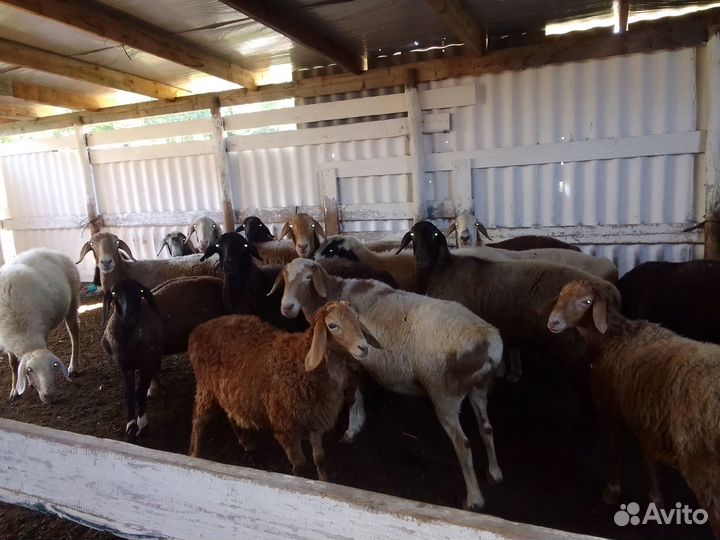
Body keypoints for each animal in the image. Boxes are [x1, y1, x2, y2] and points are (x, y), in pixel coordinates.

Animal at [0, 248, 79, 404]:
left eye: (53, 367)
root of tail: (52, 251)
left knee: (74, 333)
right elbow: (13, 364)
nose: (49, 396)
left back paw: (74, 366)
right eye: (30, 370)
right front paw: (14, 389)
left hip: (73, 300)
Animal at [102, 276, 225, 440]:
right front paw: (131, 427)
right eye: (114, 293)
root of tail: (219, 281)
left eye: (140, 292)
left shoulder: (147, 363)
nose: (130, 315)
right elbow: (129, 395)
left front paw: (143, 425)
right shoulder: (125, 366)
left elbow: (139, 393)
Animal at [187, 301, 382, 482]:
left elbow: (320, 458)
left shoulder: (314, 419)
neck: (303, 365)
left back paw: (246, 443)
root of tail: (199, 329)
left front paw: (324, 482)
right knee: (198, 421)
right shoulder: (286, 428)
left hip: (229, 391)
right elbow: (300, 464)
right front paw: (300, 479)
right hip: (205, 387)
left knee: (231, 413)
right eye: (332, 325)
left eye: (357, 318)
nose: (364, 347)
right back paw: (194, 455)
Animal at [273, 258, 504, 511]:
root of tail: (490, 342)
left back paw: (474, 499)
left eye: (308, 278)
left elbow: (354, 397)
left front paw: (351, 431)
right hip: (479, 389)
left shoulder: (354, 359)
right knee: (486, 428)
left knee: (463, 444)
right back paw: (494, 474)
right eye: (285, 277)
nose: (287, 307)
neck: (334, 294)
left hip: (444, 393)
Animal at [546, 279, 720, 538]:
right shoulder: (646, 413)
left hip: (704, 465)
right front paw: (656, 500)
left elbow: (616, 448)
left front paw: (611, 491)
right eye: (560, 294)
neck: (614, 338)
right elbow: (648, 454)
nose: (553, 322)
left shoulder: (613, 409)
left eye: (586, 301)